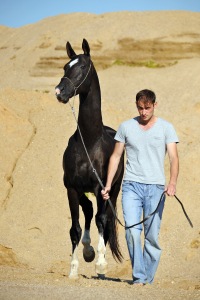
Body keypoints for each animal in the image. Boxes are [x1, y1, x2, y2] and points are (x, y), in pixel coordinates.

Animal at [54, 38, 123, 278]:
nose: (59, 91)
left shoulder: (101, 188)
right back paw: (88, 250)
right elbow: (74, 228)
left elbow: (102, 221)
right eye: (65, 67)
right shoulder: (72, 188)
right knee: (88, 211)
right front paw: (73, 268)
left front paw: (101, 264)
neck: (89, 142)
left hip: (114, 190)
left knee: (103, 219)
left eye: (82, 67)